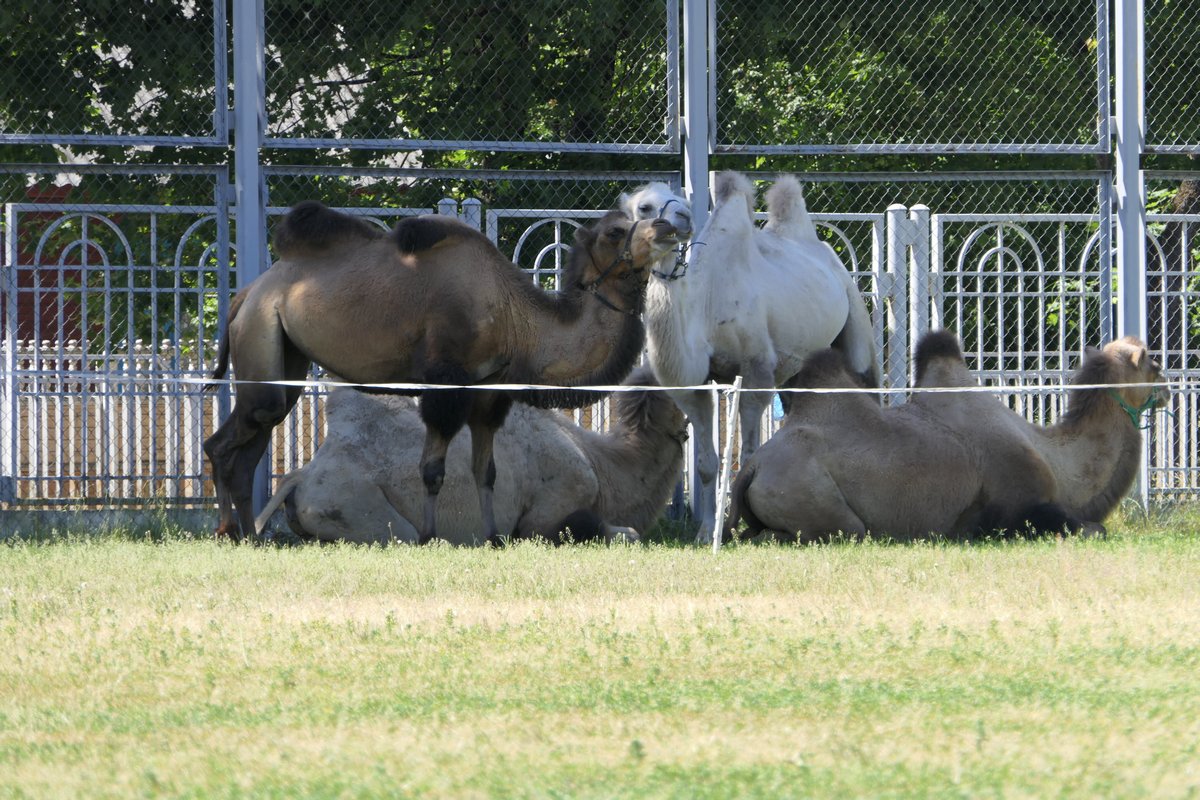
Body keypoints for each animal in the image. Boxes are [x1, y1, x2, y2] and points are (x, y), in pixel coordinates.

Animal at [201, 203, 681, 546]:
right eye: (615, 231)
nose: (667, 227)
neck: (514, 317)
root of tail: (246, 293)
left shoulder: (489, 392)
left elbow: (485, 470)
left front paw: (493, 538)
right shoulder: (445, 384)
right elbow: (432, 469)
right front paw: (432, 536)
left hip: (286, 354)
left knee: (255, 434)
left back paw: (248, 534)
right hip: (261, 331)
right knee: (229, 438)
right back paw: (228, 531)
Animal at [624, 169, 878, 544]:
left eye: (683, 201)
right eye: (644, 206)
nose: (682, 219)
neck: (705, 306)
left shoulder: (757, 366)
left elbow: (747, 454)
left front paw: (738, 525)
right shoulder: (695, 385)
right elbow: (706, 464)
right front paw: (705, 532)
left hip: (855, 323)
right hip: (795, 370)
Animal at [724, 331, 1166, 544]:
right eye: (1154, 363)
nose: (1166, 387)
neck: (1058, 461)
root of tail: (752, 466)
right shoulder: (1020, 509)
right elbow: (1095, 529)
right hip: (816, 498)